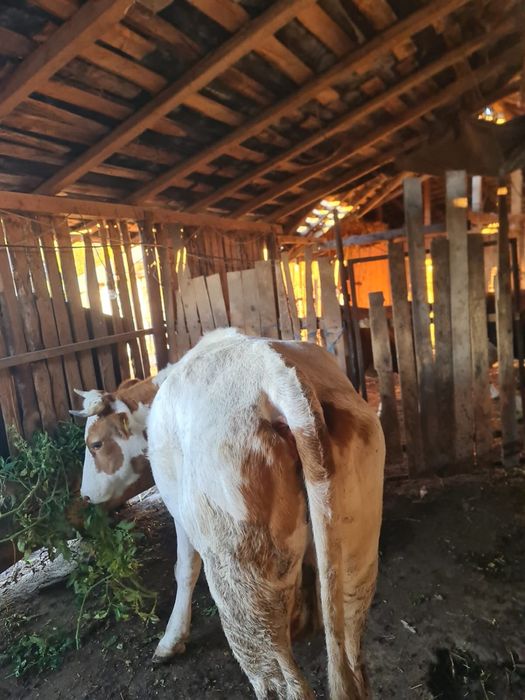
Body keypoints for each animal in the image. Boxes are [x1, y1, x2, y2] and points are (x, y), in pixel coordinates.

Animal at [79, 329, 384, 699]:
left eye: (95, 444)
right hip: (356, 558)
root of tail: (277, 373)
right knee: (352, 657)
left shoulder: (180, 513)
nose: (85, 495)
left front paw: (170, 641)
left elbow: (184, 569)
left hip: (240, 582)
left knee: (281, 683)